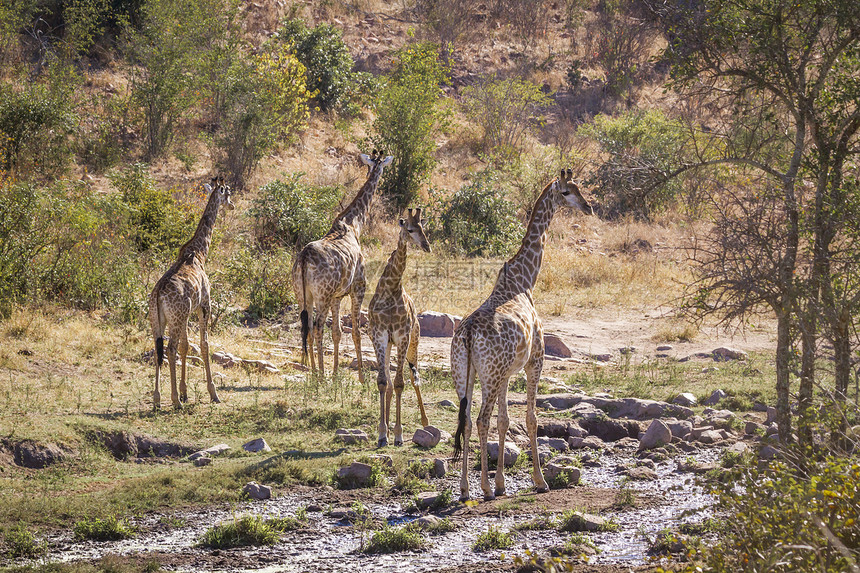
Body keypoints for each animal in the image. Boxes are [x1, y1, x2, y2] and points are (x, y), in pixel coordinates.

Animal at [149, 177, 235, 408]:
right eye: (228, 193)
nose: (232, 205)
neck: (199, 253)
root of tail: (158, 295)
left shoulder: (187, 313)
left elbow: (186, 346)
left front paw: (185, 392)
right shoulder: (204, 305)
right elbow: (204, 345)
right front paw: (213, 393)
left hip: (158, 319)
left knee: (159, 349)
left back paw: (157, 399)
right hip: (175, 318)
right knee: (169, 349)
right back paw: (174, 402)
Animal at [292, 152, 394, 382]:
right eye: (381, 166)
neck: (353, 224)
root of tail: (303, 258)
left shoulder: (337, 296)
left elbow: (338, 332)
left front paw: (336, 373)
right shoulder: (358, 287)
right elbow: (356, 332)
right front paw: (362, 380)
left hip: (303, 295)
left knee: (307, 327)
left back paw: (314, 373)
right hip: (322, 295)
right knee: (318, 327)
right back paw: (320, 375)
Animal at [368, 207, 434, 446]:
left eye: (423, 227)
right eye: (410, 229)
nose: (427, 246)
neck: (390, 289)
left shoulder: (402, 336)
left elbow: (400, 383)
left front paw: (398, 434)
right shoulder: (379, 336)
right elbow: (382, 382)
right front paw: (382, 434)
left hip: (414, 342)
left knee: (415, 379)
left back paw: (425, 421)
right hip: (389, 345)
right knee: (388, 382)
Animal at [450, 170, 592, 500]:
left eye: (579, 187)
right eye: (566, 192)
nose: (588, 207)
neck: (525, 280)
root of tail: (468, 334)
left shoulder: (506, 373)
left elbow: (504, 421)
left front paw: (503, 483)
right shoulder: (535, 360)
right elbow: (531, 418)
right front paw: (539, 481)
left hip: (464, 373)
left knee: (466, 420)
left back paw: (465, 490)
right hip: (488, 375)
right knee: (480, 419)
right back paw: (484, 489)